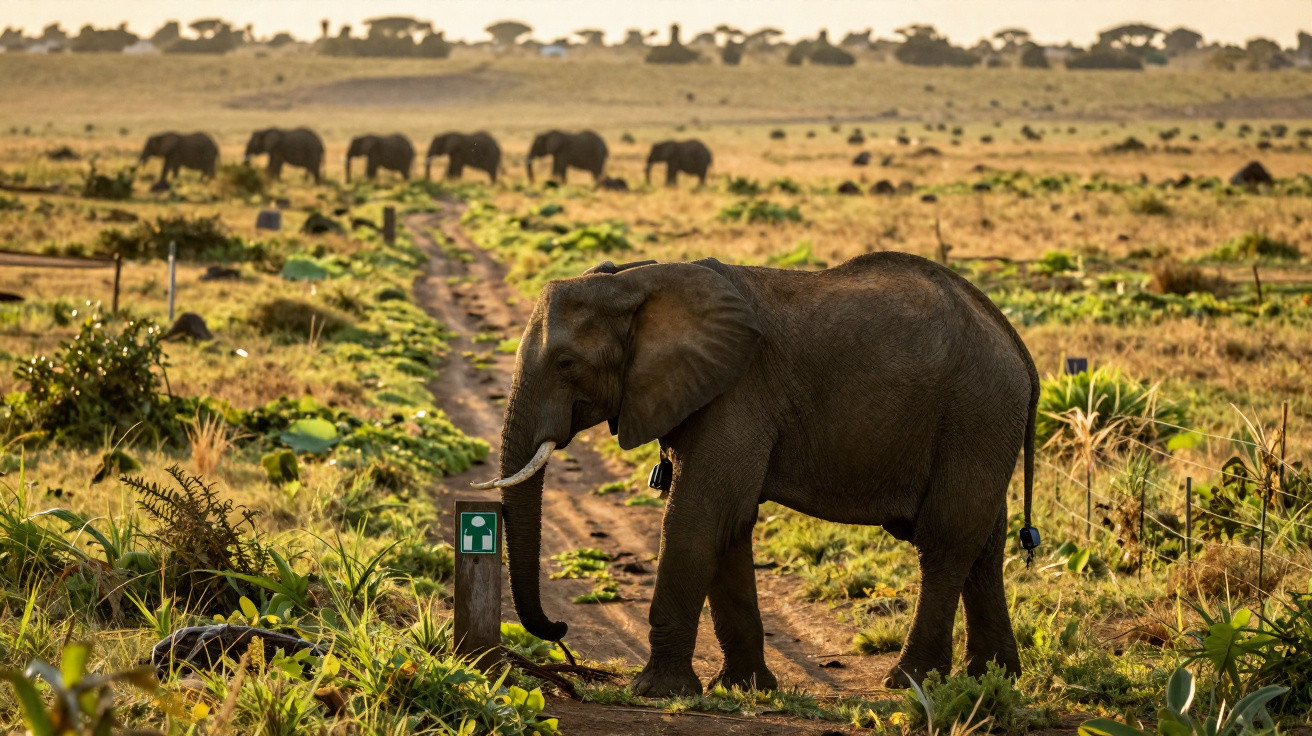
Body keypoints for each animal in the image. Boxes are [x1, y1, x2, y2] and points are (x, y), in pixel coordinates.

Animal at [472, 253, 1040, 698]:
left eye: (566, 363)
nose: (560, 627)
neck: (640, 282)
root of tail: (1013, 340)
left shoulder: (735, 395)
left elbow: (700, 517)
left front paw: (656, 692)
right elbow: (729, 525)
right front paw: (743, 688)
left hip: (976, 413)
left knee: (944, 541)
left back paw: (911, 681)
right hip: (983, 422)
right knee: (985, 540)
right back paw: (993, 679)